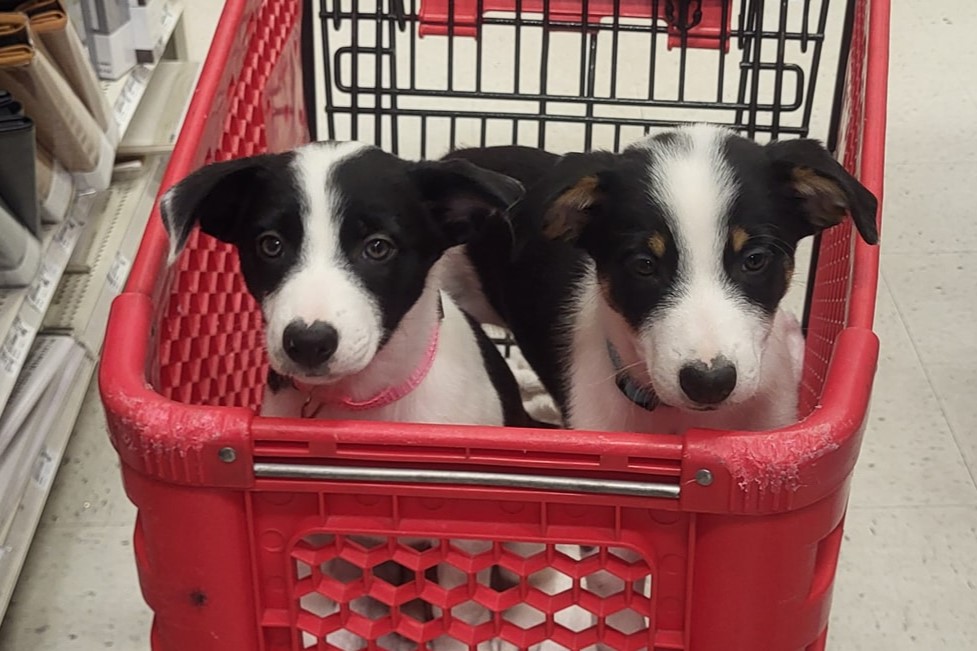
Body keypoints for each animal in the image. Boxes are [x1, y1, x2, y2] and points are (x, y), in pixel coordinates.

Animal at [156, 141, 544, 651]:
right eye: (270, 244)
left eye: (378, 246)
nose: (308, 342)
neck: (363, 404)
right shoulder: (325, 543)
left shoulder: (463, 541)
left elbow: (458, 622)